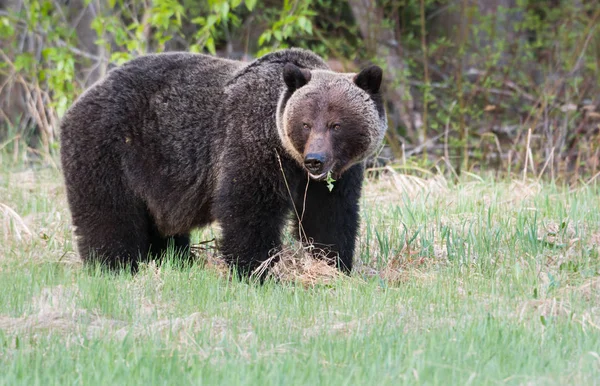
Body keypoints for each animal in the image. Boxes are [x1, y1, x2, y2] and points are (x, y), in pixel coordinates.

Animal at [61, 48, 386, 276]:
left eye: (336, 125)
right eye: (305, 124)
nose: (315, 160)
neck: (288, 153)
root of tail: (80, 99)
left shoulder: (337, 175)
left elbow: (329, 215)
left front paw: (334, 264)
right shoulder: (253, 144)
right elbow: (248, 208)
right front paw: (256, 270)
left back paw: (175, 259)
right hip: (111, 150)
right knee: (109, 213)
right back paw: (114, 265)